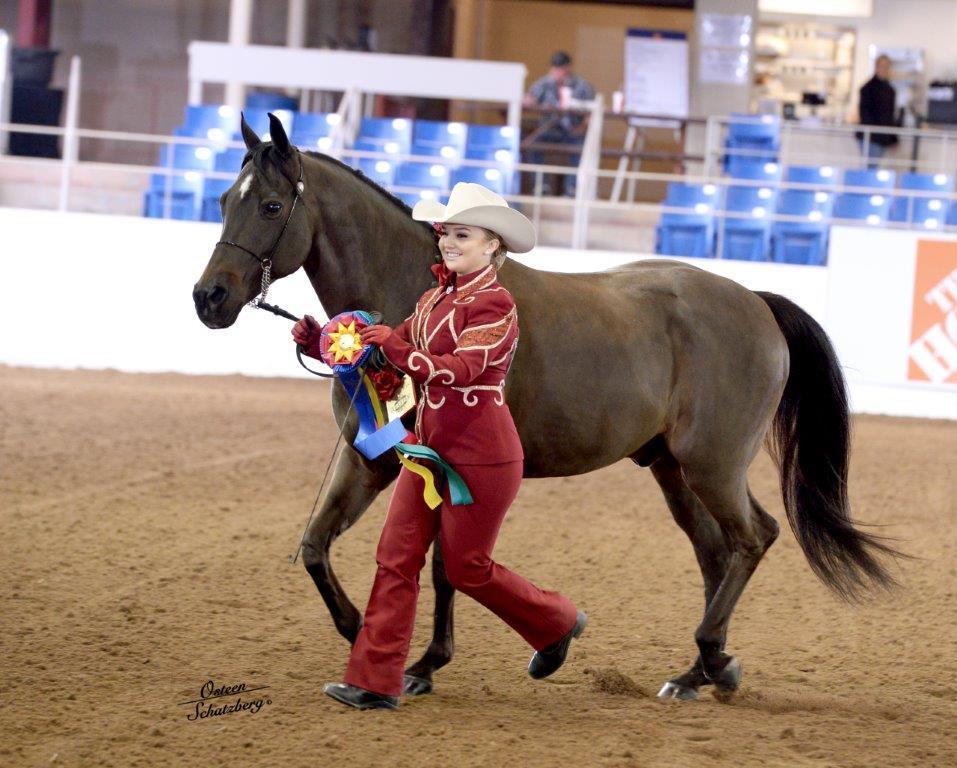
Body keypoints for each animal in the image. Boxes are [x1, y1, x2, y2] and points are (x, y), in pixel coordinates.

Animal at [193, 114, 900, 700]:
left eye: (271, 204)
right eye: (225, 200)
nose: (209, 297)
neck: (417, 293)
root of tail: (755, 302)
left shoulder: (441, 463)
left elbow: (446, 564)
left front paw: (423, 661)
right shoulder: (373, 457)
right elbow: (319, 545)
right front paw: (369, 633)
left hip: (713, 464)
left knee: (753, 538)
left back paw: (711, 662)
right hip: (674, 469)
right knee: (715, 550)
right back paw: (699, 671)